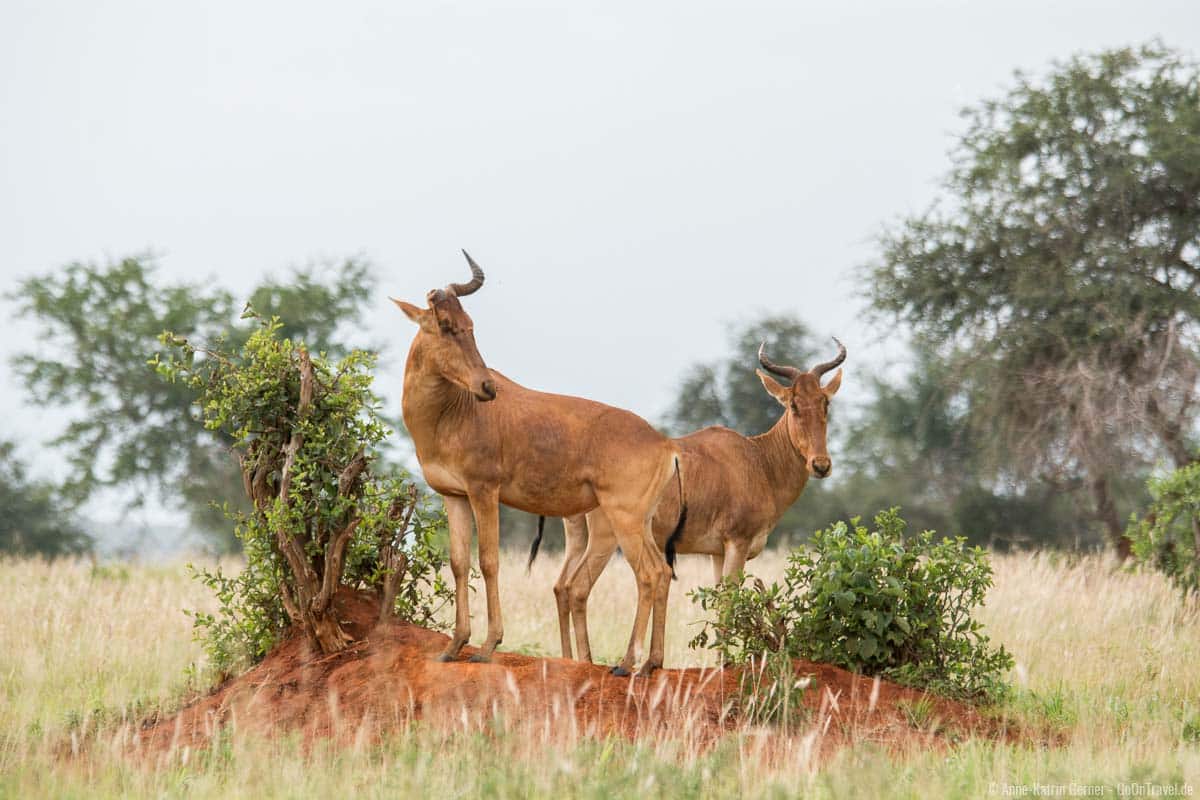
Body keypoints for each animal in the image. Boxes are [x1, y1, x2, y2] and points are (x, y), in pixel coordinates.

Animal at [388, 253, 681, 681]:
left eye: (469, 325)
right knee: (660, 573)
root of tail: (665, 444)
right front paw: (454, 647)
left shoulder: (484, 490)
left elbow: (488, 561)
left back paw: (626, 664)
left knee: (647, 574)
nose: (487, 387)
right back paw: (651, 663)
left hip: (622, 517)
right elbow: (459, 563)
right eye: (445, 325)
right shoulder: (453, 496)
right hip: (640, 520)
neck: (455, 410)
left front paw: (487, 648)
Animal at [540, 338, 849, 662]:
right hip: (609, 537)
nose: (820, 465)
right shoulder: (737, 543)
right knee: (578, 588)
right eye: (793, 403)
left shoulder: (717, 552)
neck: (757, 460)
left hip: (578, 536)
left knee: (561, 587)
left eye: (825, 402)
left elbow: (720, 605)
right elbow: (728, 606)